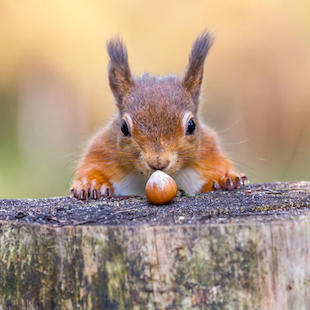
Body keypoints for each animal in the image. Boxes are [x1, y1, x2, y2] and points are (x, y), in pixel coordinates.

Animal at [70, 32, 247, 201]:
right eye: (123, 127)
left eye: (191, 125)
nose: (158, 162)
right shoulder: (102, 150)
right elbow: (92, 166)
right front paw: (90, 184)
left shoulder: (209, 152)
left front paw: (226, 178)